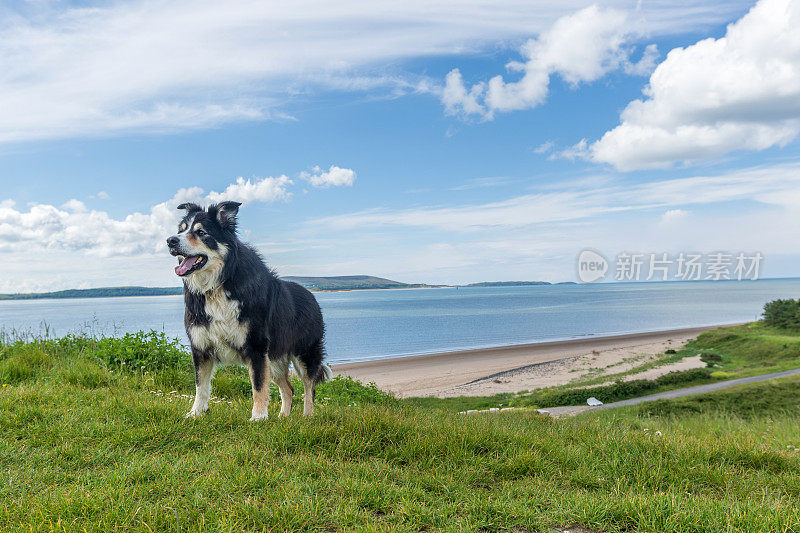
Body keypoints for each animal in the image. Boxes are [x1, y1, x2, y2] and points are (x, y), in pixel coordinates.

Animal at [166, 201, 332, 420]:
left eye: (201, 232)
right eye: (181, 230)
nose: (170, 240)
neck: (218, 285)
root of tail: (312, 296)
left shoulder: (256, 347)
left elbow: (258, 386)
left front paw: (258, 418)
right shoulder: (201, 347)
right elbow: (200, 386)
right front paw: (195, 414)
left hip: (305, 353)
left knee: (309, 388)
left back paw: (307, 417)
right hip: (276, 359)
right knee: (288, 389)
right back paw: (283, 418)